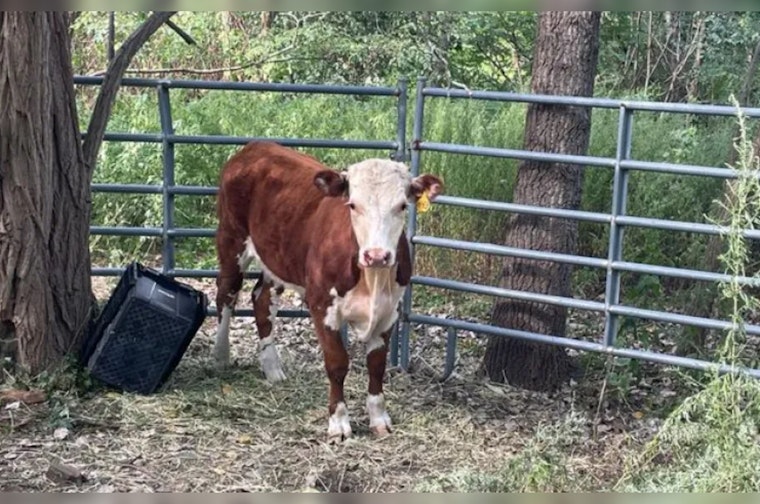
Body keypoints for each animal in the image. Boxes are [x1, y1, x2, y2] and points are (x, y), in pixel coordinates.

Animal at [212, 141, 443, 442]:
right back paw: (221, 355)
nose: (377, 255)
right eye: (353, 205)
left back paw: (273, 369)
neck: (371, 279)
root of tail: (256, 147)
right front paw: (339, 423)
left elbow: (377, 366)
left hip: (278, 259)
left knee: (262, 301)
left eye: (402, 205)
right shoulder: (322, 306)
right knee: (226, 293)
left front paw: (379, 419)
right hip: (231, 240)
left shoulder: (388, 313)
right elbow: (337, 364)